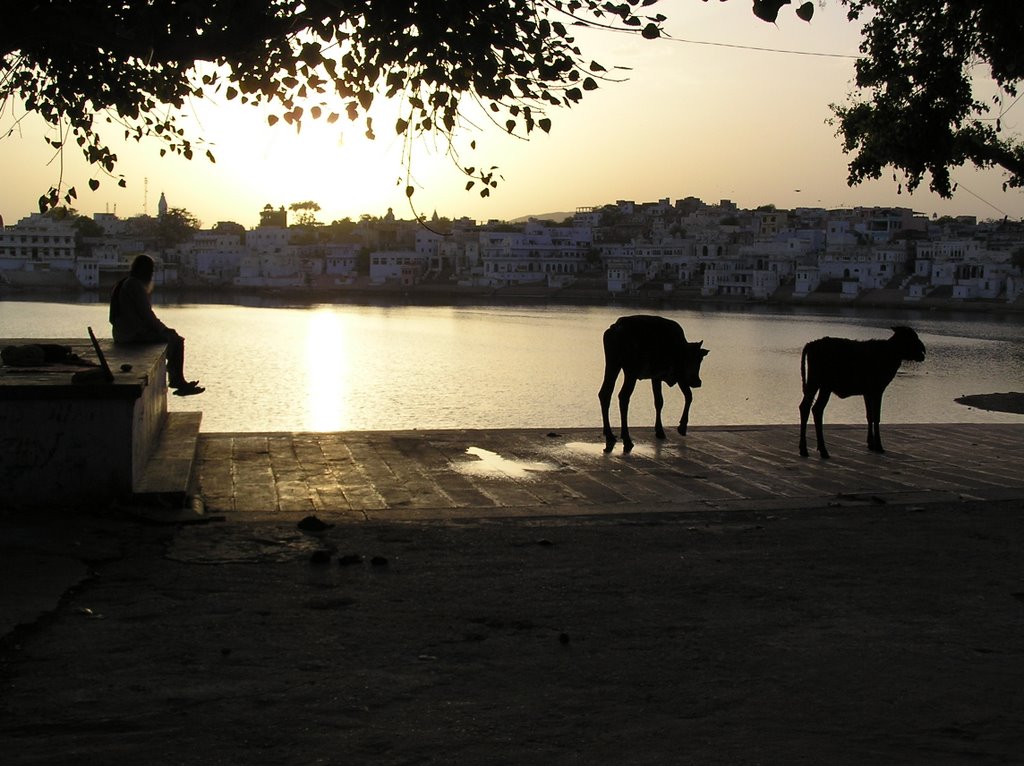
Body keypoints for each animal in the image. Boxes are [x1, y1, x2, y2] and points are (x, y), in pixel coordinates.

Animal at [598, 313, 708, 452]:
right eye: (693, 359)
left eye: (700, 359)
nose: (697, 381)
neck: (679, 348)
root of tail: (616, 328)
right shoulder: (679, 376)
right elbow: (688, 396)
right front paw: (682, 427)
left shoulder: (657, 377)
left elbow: (659, 401)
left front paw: (660, 431)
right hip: (631, 372)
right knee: (623, 396)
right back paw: (627, 439)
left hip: (613, 364)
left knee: (605, 393)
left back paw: (610, 435)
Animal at [798, 325, 929, 458]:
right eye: (911, 338)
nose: (923, 351)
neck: (889, 354)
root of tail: (811, 344)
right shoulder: (877, 390)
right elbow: (876, 417)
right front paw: (879, 446)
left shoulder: (867, 392)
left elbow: (869, 416)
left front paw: (871, 443)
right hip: (823, 385)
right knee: (816, 409)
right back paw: (822, 450)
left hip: (815, 384)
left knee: (807, 408)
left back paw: (805, 449)